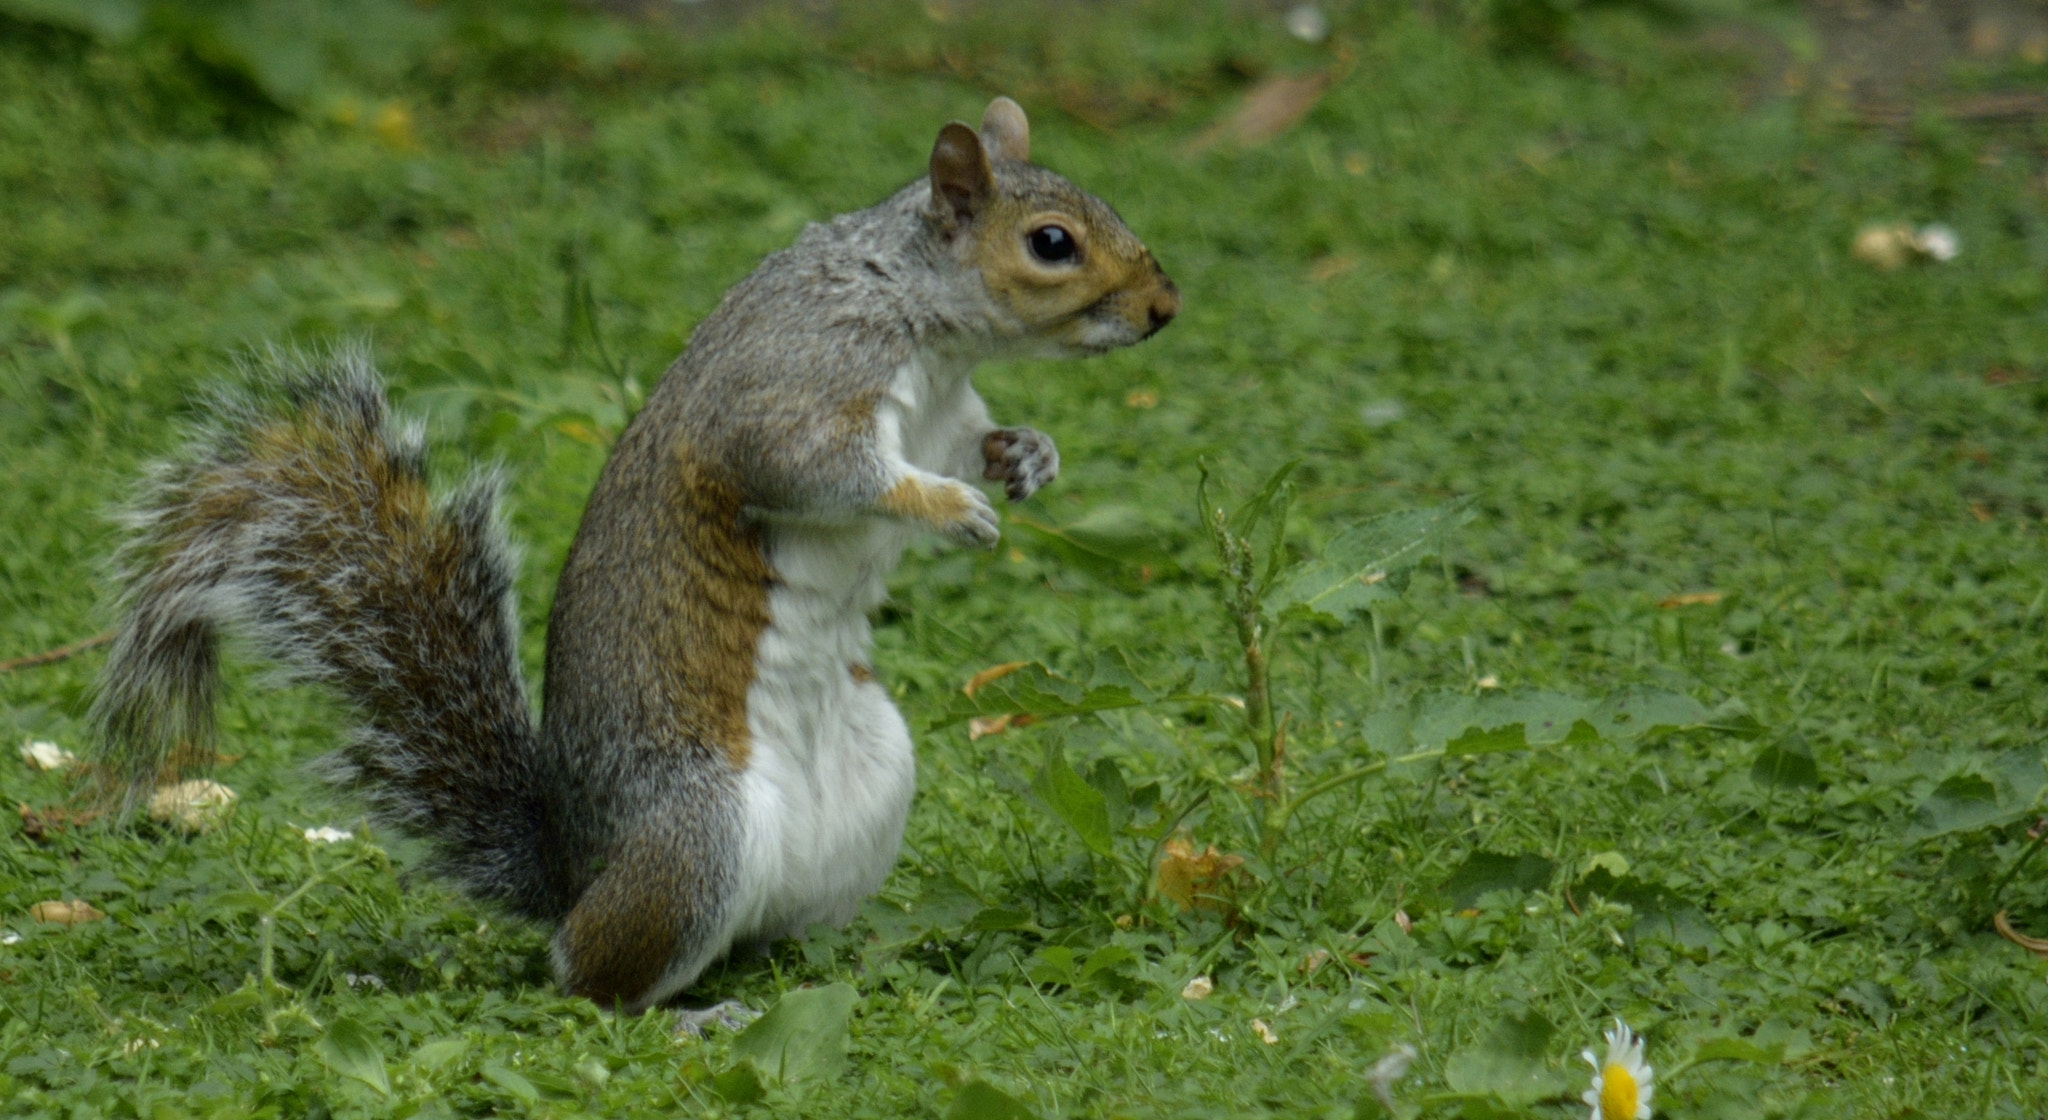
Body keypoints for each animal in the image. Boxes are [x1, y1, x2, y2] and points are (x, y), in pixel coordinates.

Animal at [88, 97, 1179, 1013]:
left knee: (759, 938)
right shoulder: (792, 387)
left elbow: (975, 441)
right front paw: (950, 509)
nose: (1164, 308)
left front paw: (1028, 457)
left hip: (872, 785)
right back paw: (694, 1014)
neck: (925, 328)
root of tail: (574, 869)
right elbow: (816, 469)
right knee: (590, 979)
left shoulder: (947, 415)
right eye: (1051, 243)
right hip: (695, 836)